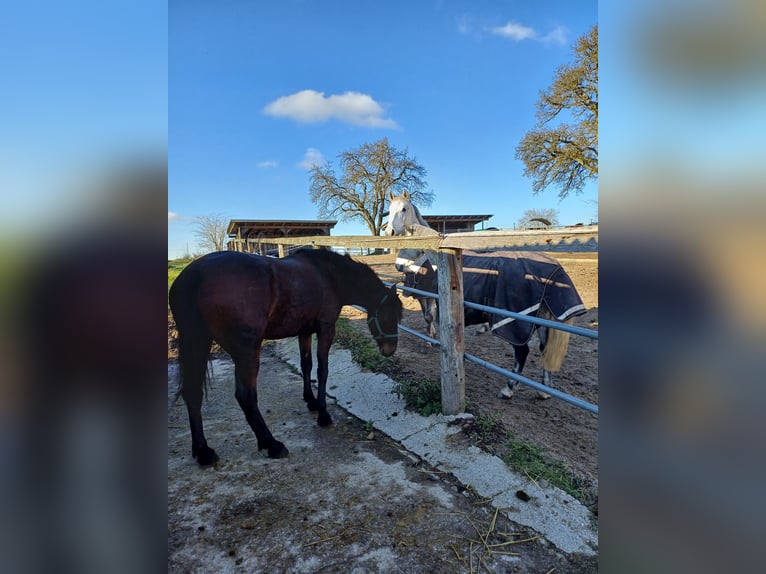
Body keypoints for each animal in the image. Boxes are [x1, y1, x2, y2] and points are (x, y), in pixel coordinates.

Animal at [168, 250, 402, 466]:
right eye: (389, 316)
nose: (390, 350)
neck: (328, 275)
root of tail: (193, 276)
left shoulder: (304, 331)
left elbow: (306, 365)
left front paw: (311, 401)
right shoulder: (326, 329)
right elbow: (322, 370)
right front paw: (323, 414)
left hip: (198, 343)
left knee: (193, 393)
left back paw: (203, 451)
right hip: (246, 351)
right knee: (245, 396)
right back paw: (271, 444)